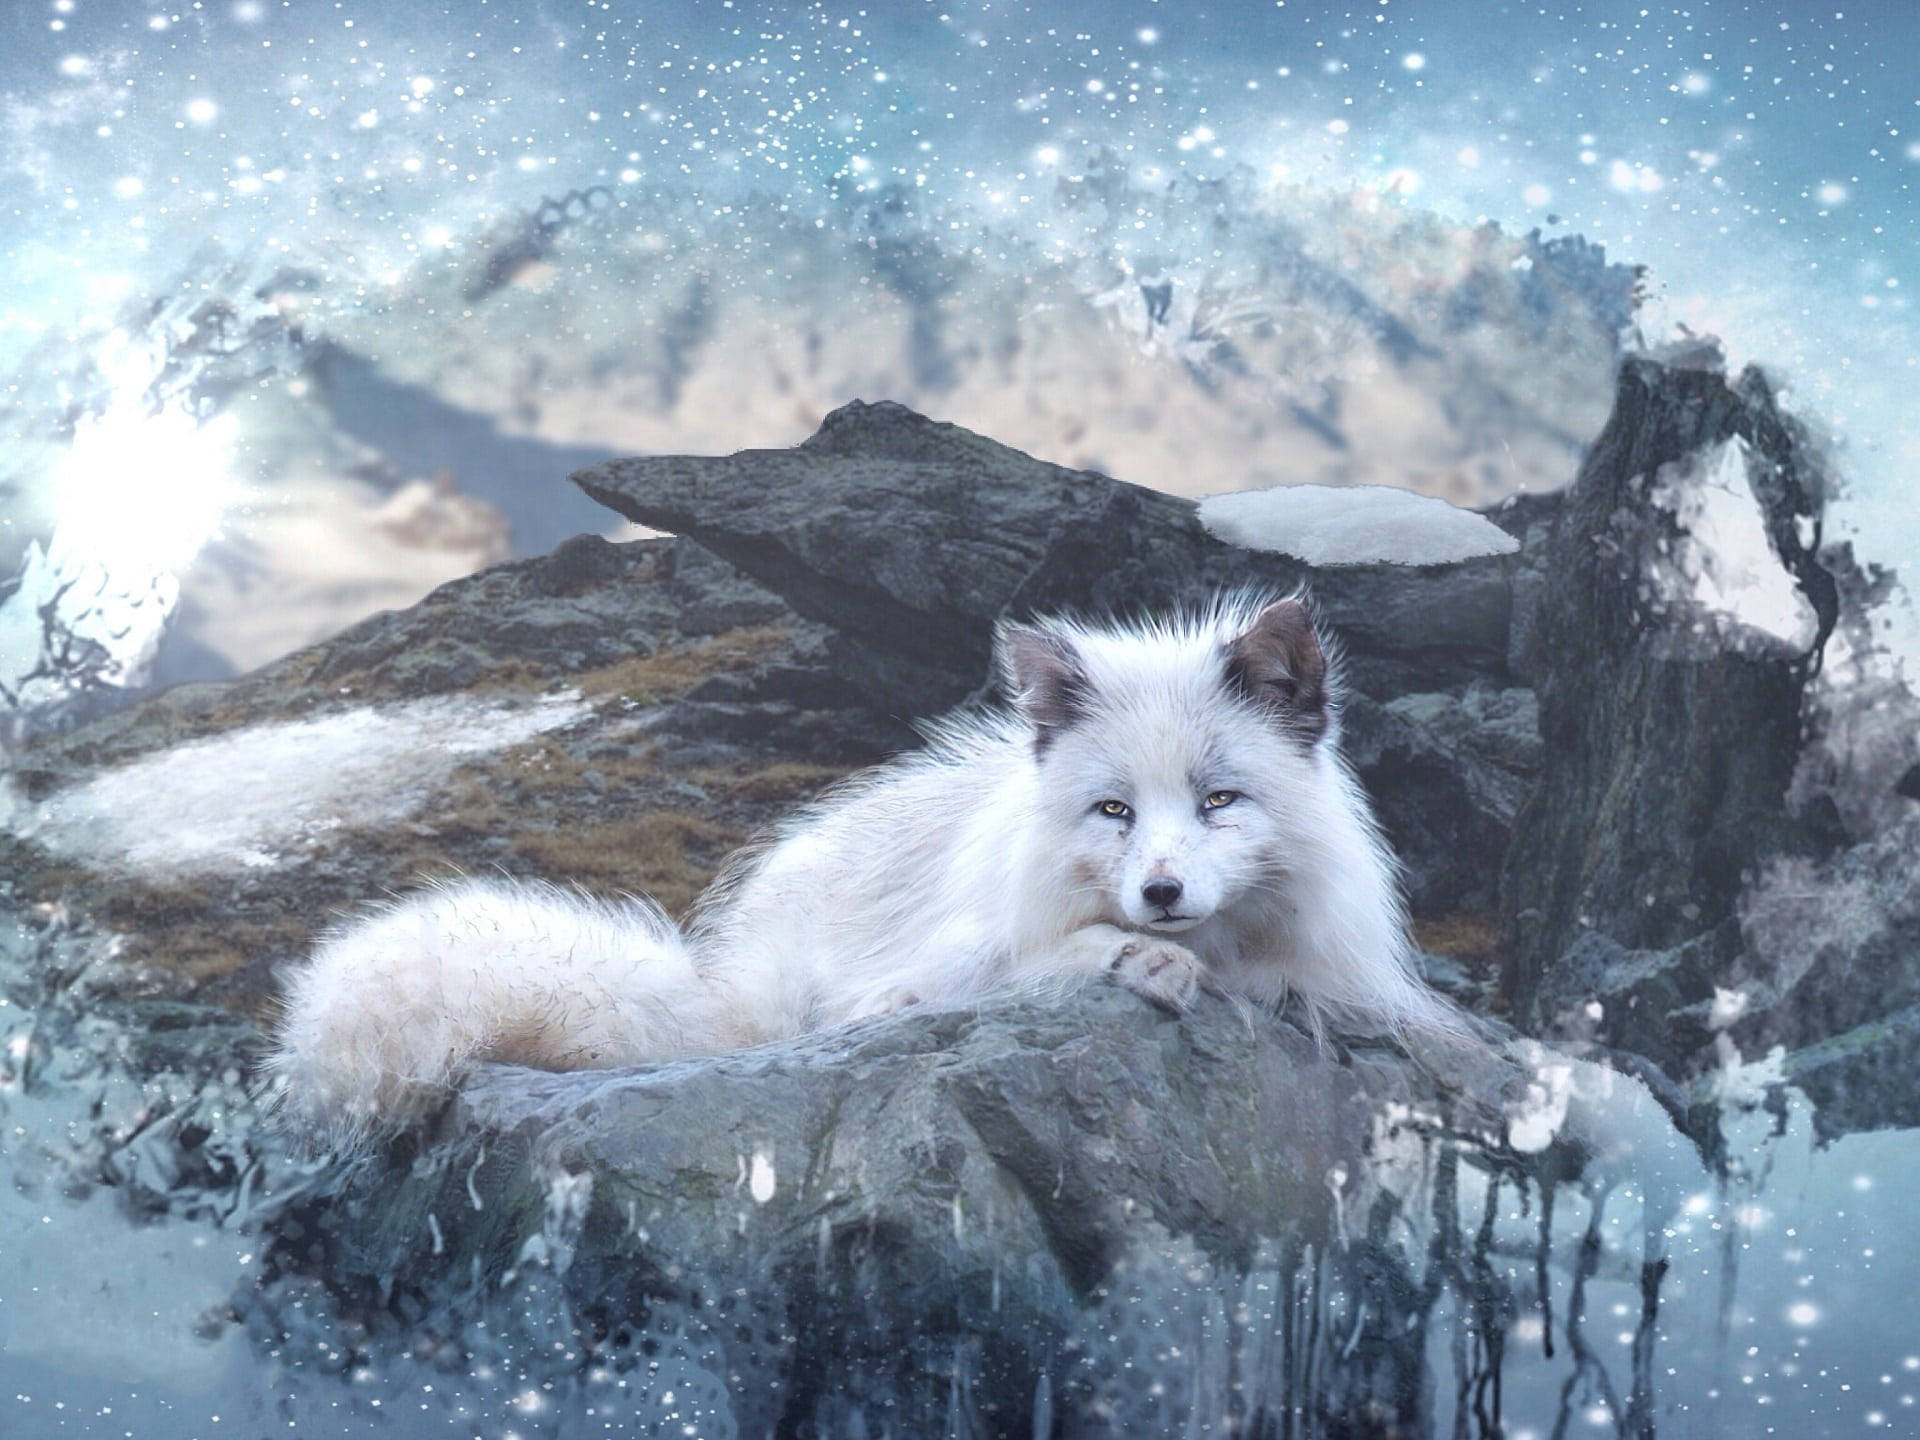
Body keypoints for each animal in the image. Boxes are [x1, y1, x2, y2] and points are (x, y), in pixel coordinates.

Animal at [263, 592, 1462, 1147]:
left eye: (1219, 801)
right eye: (1115, 811)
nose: (1159, 895)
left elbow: (1285, 982)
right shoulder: (907, 987)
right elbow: (1034, 964)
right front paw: (1133, 959)